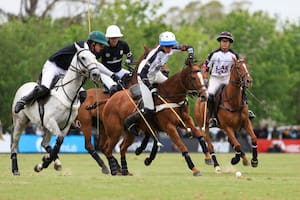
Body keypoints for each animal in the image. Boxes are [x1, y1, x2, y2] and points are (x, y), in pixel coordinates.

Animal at [10, 42, 103, 175]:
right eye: (83, 57)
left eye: (95, 57)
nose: (96, 74)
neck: (68, 94)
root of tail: (24, 85)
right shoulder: (51, 121)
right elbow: (58, 141)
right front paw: (44, 163)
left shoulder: (65, 125)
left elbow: (58, 144)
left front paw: (44, 163)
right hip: (20, 121)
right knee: (14, 144)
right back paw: (15, 169)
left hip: (44, 126)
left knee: (44, 143)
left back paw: (54, 161)